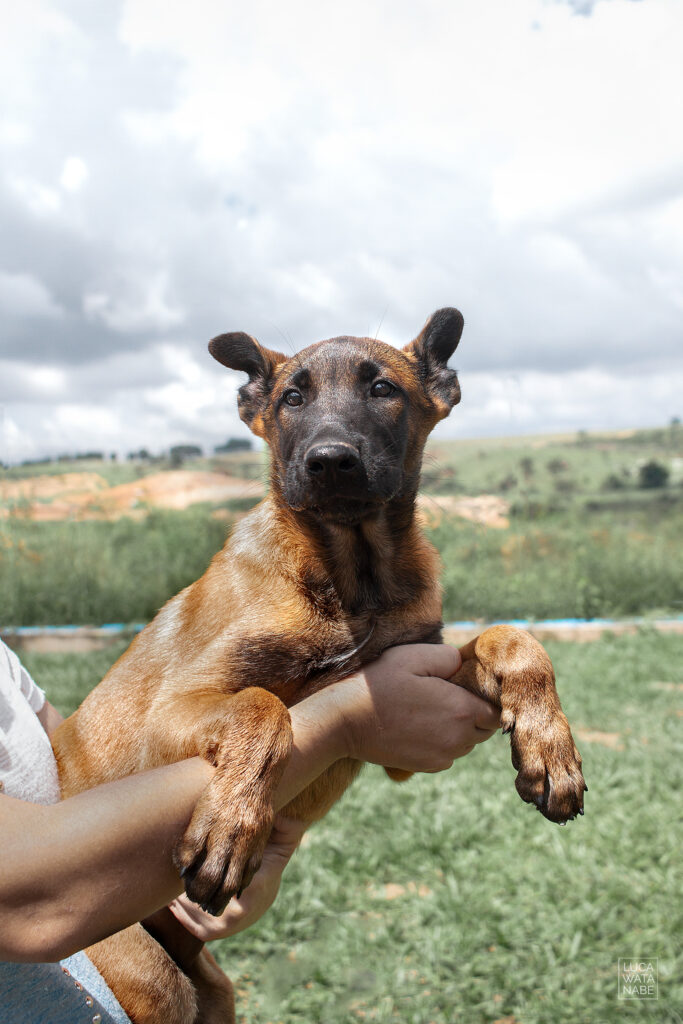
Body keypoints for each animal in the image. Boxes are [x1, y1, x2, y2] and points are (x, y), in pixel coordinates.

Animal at [54, 309, 589, 1024]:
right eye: (292, 398)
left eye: (383, 389)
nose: (330, 461)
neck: (350, 578)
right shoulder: (171, 715)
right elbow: (265, 707)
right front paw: (232, 821)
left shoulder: (412, 691)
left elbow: (514, 639)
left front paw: (550, 746)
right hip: (145, 972)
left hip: (213, 989)